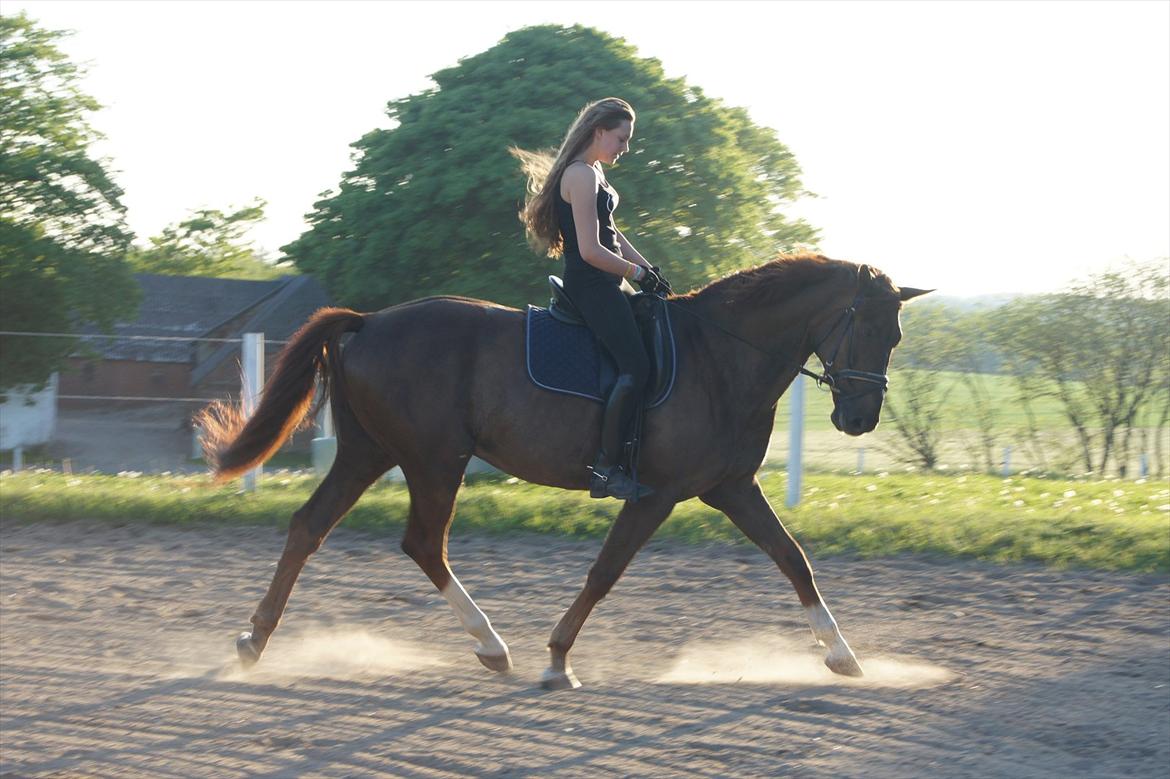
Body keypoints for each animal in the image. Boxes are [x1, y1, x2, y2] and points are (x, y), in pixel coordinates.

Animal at [203, 253, 931, 687]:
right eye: (868, 330)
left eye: (896, 337)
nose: (860, 418)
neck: (721, 355)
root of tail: (370, 321)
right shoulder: (656, 495)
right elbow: (604, 572)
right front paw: (557, 659)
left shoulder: (731, 488)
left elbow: (793, 559)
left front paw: (842, 655)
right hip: (434, 459)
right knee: (422, 543)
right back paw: (492, 645)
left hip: (369, 453)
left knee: (309, 527)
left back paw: (254, 641)